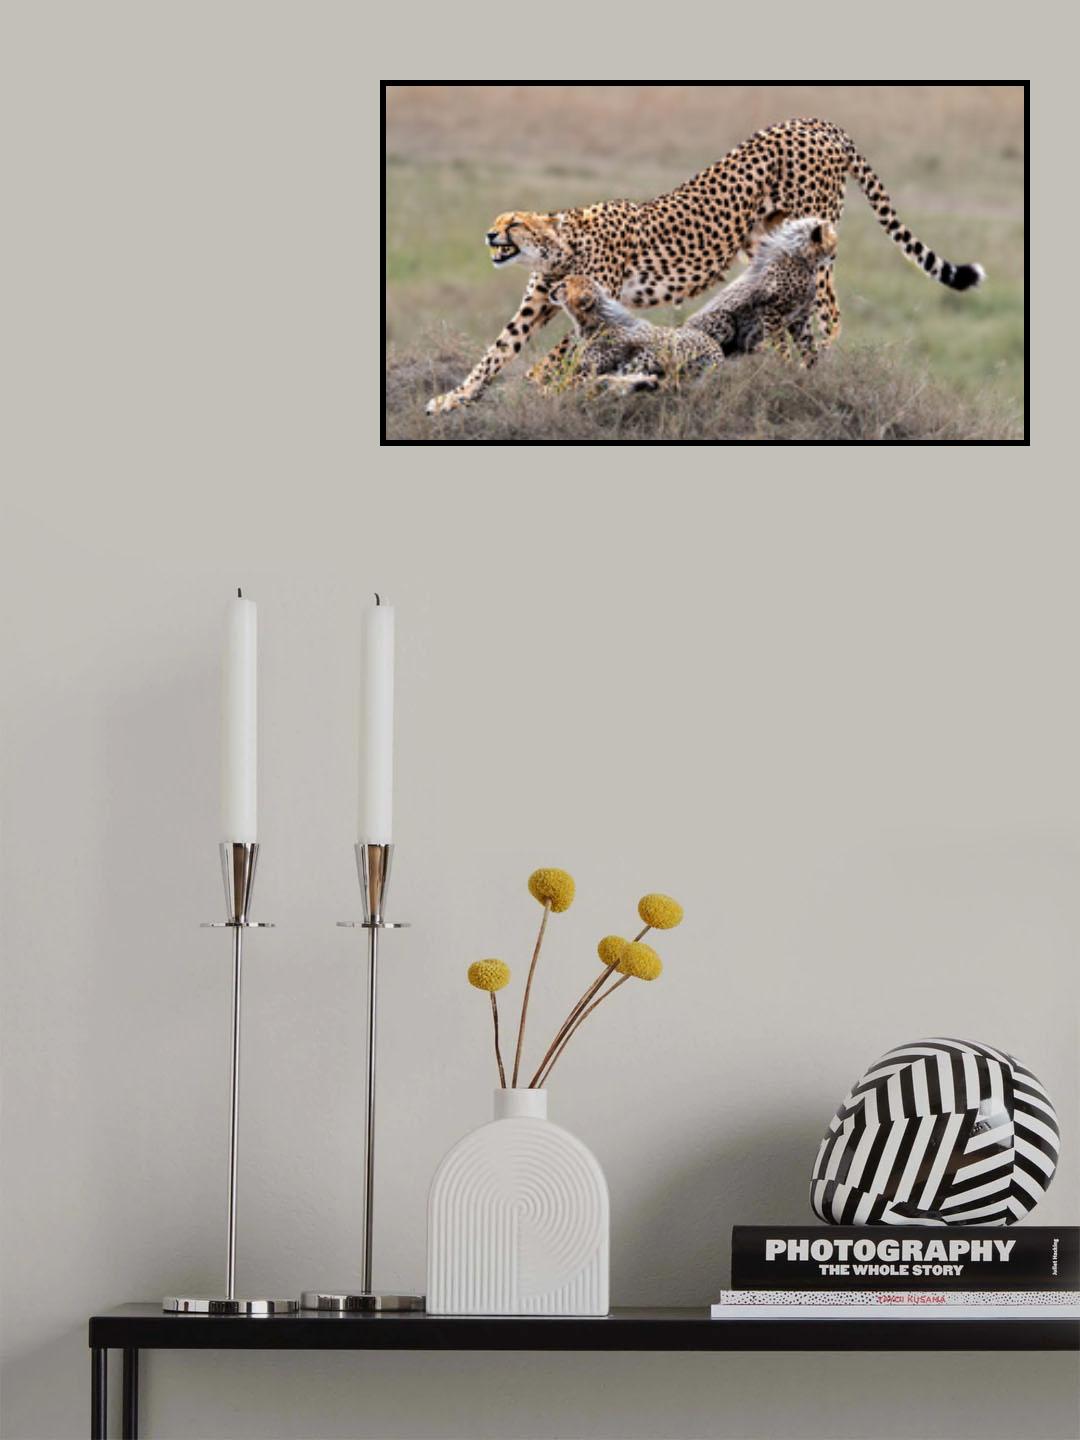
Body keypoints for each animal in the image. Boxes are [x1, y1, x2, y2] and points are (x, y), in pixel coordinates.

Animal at [425, 117, 985, 415]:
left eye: (514, 222)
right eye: (499, 220)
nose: (490, 234)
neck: (560, 244)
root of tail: (818, 123)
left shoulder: (594, 299)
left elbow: (563, 351)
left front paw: (539, 382)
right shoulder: (536, 305)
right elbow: (494, 354)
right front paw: (452, 399)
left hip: (815, 236)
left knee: (829, 311)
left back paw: (815, 368)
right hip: (768, 242)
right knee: (798, 313)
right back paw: (792, 365)